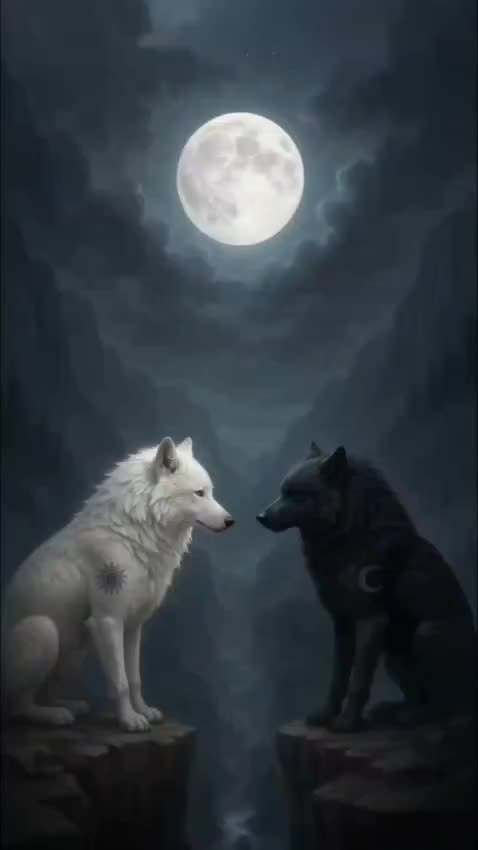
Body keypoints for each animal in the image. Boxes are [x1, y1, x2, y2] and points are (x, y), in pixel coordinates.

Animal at [2, 437, 234, 732]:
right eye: (199, 493)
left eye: (210, 492)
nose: (230, 521)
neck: (134, 533)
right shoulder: (108, 620)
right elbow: (120, 682)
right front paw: (129, 720)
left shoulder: (133, 626)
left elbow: (134, 679)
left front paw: (143, 711)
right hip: (42, 629)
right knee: (18, 704)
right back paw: (53, 715)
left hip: (77, 648)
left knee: (45, 693)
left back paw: (70, 706)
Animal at [257, 443, 476, 732]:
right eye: (282, 491)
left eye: (297, 495)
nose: (260, 517)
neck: (349, 539)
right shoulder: (341, 623)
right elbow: (338, 678)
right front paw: (326, 715)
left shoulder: (370, 621)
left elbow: (358, 680)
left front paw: (347, 722)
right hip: (393, 656)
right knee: (420, 696)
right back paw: (395, 710)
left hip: (426, 634)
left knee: (445, 705)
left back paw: (414, 716)